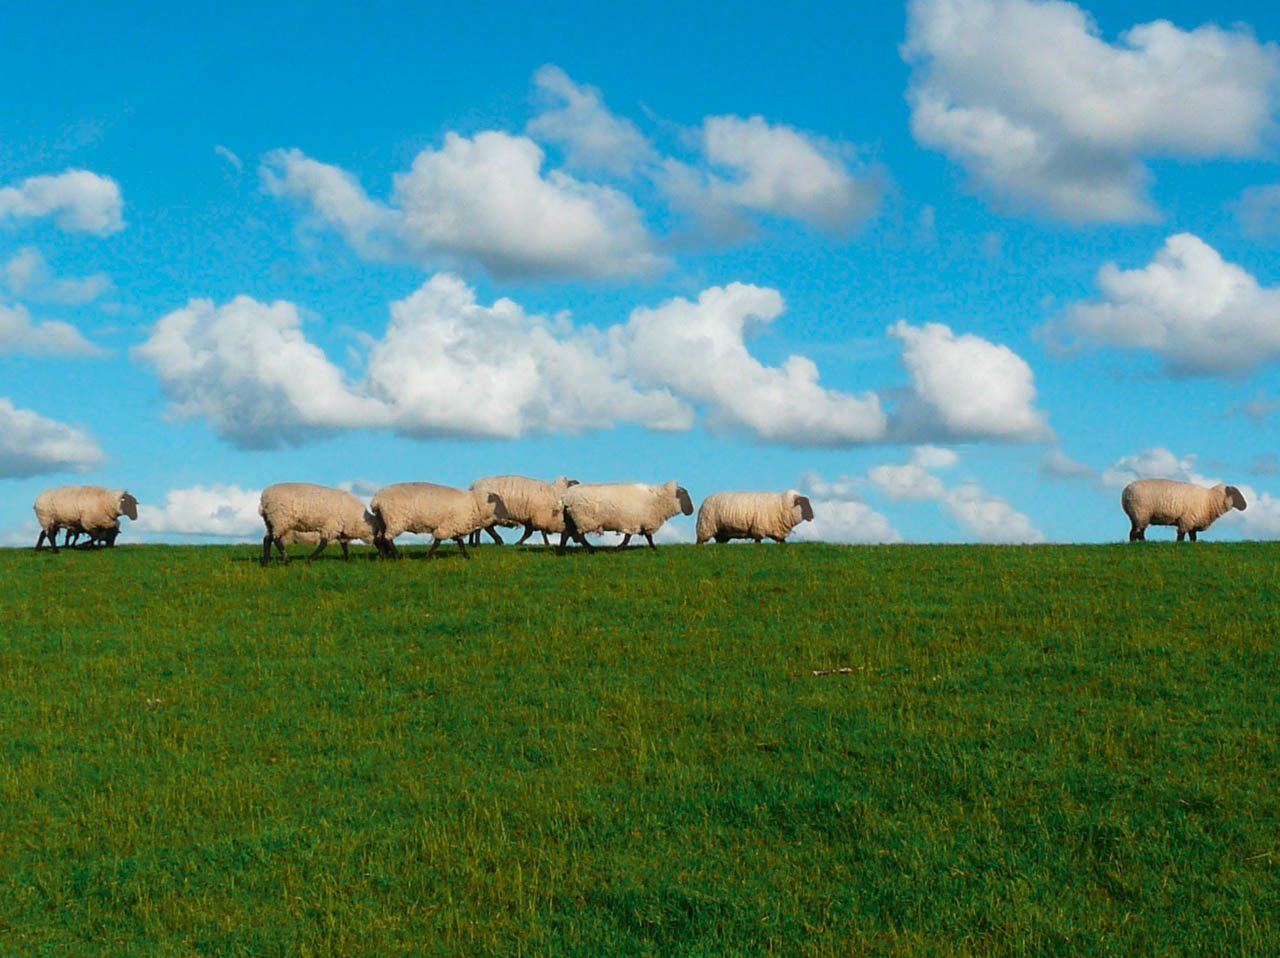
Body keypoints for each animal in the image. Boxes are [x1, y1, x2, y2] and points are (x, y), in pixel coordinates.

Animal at [368, 481, 506, 558]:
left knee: (379, 539)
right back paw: (396, 556)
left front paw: (466, 556)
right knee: (388, 538)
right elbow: (438, 542)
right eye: (498, 500)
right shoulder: (448, 525)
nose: (506, 513)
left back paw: (383, 556)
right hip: (395, 520)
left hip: (382, 520)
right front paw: (428, 557)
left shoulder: (456, 526)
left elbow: (460, 543)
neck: (474, 503)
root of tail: (377, 499)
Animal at [558, 478, 696, 553]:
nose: (691, 511)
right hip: (582, 518)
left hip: (572, 519)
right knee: (579, 535)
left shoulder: (635, 521)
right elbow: (636, 538)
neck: (656, 500)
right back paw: (591, 550)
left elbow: (641, 537)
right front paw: (618, 548)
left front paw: (653, 548)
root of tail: (566, 496)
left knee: (566, 533)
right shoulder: (635, 521)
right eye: (684, 495)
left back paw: (561, 552)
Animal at [1121, 476, 1249, 543]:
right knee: (1137, 532)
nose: (1245, 506)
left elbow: (1193, 537)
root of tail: (1126, 491)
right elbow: (1181, 536)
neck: (1209, 500)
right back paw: (1141, 544)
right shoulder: (1186, 520)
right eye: (1236, 494)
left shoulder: (1193, 522)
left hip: (1136, 516)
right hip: (1141, 513)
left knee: (1135, 532)